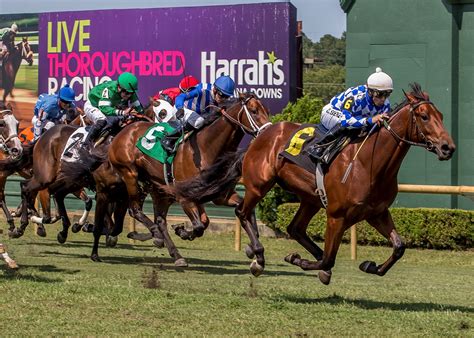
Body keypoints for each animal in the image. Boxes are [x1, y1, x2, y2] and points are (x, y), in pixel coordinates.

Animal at [106, 93, 272, 266]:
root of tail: (125, 130)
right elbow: (199, 226)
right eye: (254, 111)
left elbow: (235, 212)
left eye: (266, 111)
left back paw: (175, 254)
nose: (267, 133)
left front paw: (253, 249)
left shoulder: (220, 195)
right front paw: (182, 231)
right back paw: (154, 235)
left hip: (159, 188)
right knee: (136, 210)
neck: (208, 148)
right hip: (130, 174)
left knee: (160, 220)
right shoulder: (185, 197)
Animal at [173, 83, 456, 284]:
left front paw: (370, 265)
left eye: (441, 115)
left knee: (295, 228)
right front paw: (298, 259)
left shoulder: (376, 212)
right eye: (424, 116)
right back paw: (258, 257)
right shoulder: (336, 215)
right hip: (259, 184)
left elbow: (399, 246)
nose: (447, 147)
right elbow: (329, 259)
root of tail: (262, 134)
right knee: (243, 212)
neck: (369, 163)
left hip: (310, 198)